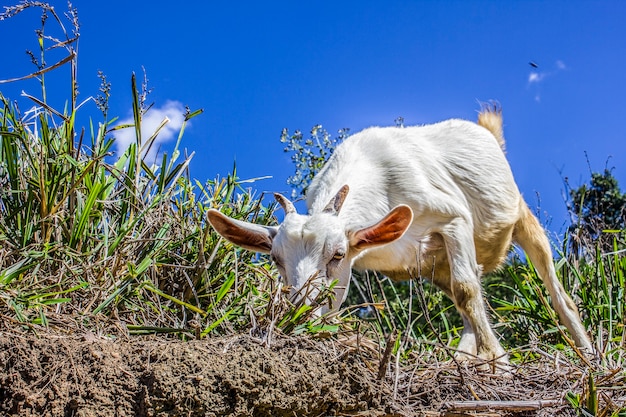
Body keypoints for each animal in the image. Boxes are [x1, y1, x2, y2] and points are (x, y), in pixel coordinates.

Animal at [207, 106, 592, 364]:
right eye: (275, 260)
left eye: (337, 255)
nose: (299, 315)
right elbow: (466, 296)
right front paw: (488, 358)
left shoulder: (453, 218)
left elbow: (467, 291)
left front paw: (498, 363)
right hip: (437, 264)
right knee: (464, 298)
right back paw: (464, 357)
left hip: (522, 217)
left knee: (554, 291)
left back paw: (588, 354)